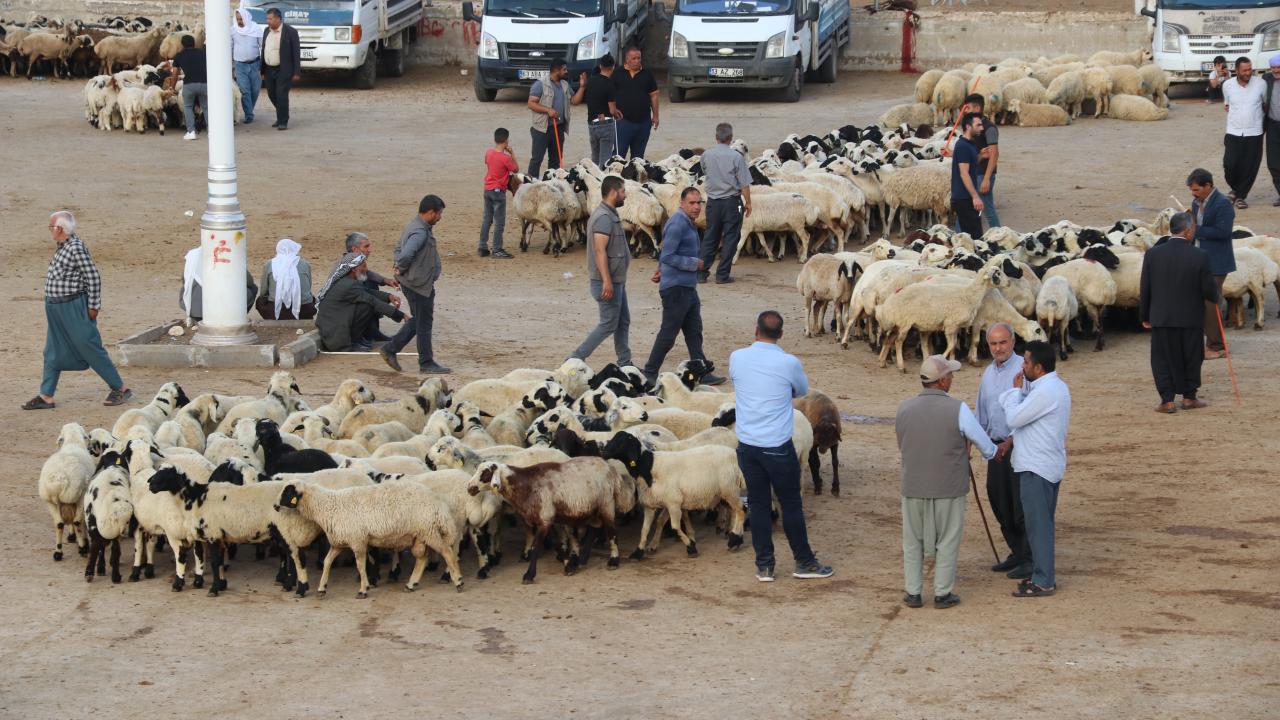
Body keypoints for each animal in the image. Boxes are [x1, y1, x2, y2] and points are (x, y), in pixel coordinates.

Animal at [38, 422, 94, 561]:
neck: (73, 442)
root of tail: (61, 478)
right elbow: (79, 521)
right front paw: (79, 539)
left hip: (50, 501)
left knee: (59, 523)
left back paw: (58, 552)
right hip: (79, 496)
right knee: (77, 521)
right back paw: (82, 548)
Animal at [82, 452, 134, 583]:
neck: (113, 465)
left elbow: (99, 548)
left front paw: (100, 568)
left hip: (92, 522)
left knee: (96, 546)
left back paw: (91, 573)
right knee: (114, 549)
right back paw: (115, 576)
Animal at [278, 479, 464, 597]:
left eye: (287, 492)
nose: (275, 506)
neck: (328, 506)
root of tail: (438, 503)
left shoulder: (358, 540)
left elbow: (360, 566)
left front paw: (363, 589)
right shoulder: (340, 542)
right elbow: (327, 562)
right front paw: (322, 588)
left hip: (429, 530)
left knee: (447, 553)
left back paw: (458, 582)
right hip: (419, 535)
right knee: (422, 559)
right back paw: (411, 585)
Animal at [467, 459, 628, 583]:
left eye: (485, 473)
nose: (469, 488)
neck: (525, 484)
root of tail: (610, 467)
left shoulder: (545, 518)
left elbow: (536, 547)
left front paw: (529, 575)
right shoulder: (546, 519)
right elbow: (556, 545)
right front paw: (569, 564)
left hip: (606, 503)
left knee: (611, 530)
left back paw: (613, 561)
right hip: (592, 507)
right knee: (595, 527)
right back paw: (582, 559)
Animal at [600, 432, 745, 558]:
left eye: (622, 442)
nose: (603, 452)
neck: (649, 467)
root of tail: (734, 454)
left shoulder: (673, 503)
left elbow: (675, 527)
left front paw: (691, 548)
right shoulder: (652, 504)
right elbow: (645, 529)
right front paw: (638, 552)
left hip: (730, 489)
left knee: (741, 510)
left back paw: (734, 539)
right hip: (722, 494)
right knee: (736, 511)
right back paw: (735, 537)